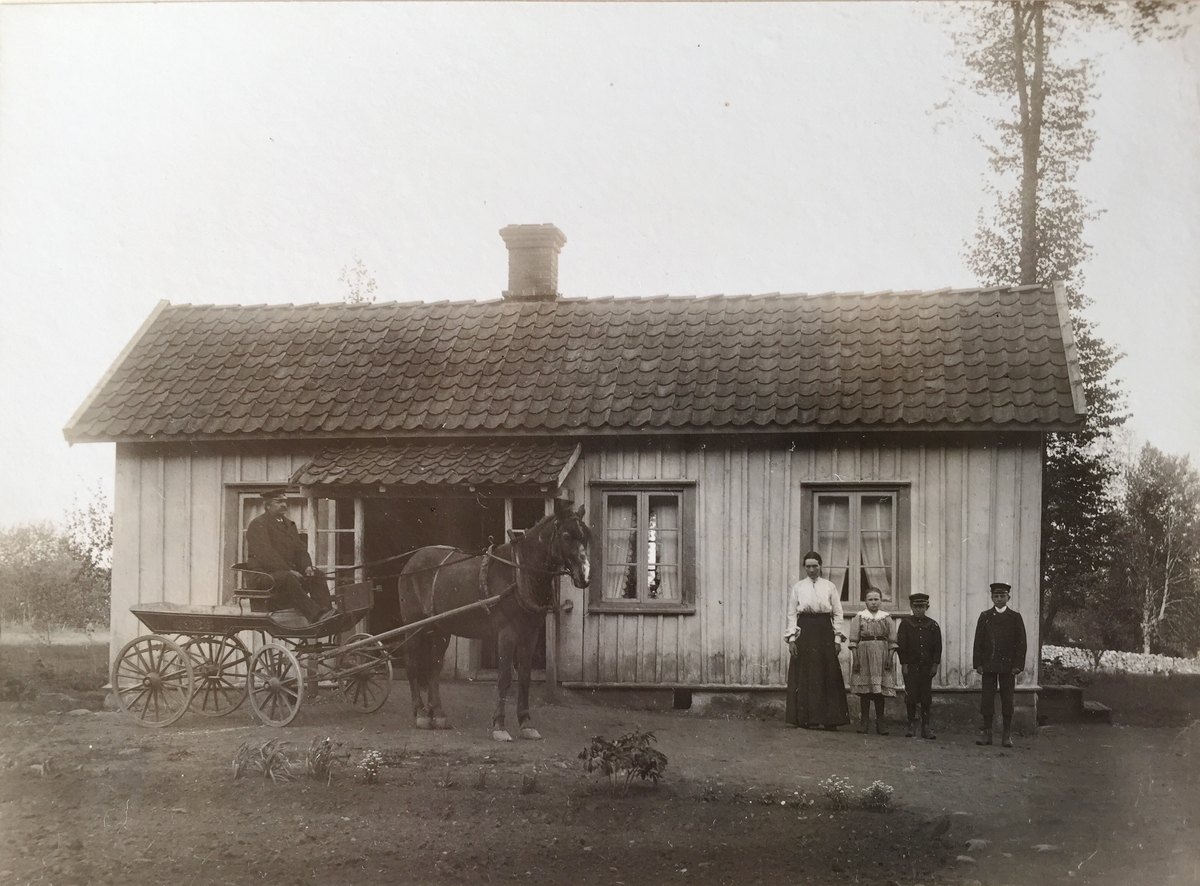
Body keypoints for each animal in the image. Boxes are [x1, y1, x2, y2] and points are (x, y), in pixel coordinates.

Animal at [397, 499, 590, 741]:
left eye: (587, 535)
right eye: (566, 536)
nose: (584, 576)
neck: (519, 574)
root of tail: (412, 562)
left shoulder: (530, 634)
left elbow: (524, 678)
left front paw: (526, 723)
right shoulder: (506, 633)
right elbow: (505, 678)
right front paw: (499, 725)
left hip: (441, 628)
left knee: (434, 666)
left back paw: (438, 714)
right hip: (414, 625)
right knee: (412, 664)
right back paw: (422, 713)